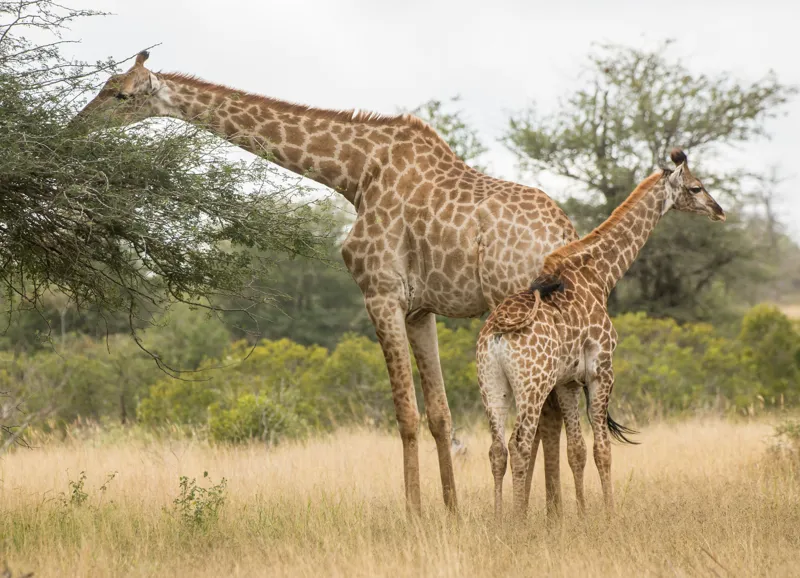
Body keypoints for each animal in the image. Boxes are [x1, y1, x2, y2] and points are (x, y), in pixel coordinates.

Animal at [74, 50, 620, 515]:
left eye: (119, 93)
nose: (76, 127)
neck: (355, 173)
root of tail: (564, 232)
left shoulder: (379, 293)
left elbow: (404, 413)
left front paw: (414, 513)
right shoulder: (419, 308)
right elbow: (439, 414)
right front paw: (451, 510)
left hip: (516, 310)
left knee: (545, 414)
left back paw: (546, 513)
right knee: (550, 414)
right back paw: (553, 513)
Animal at [477, 149, 725, 519]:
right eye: (696, 187)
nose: (718, 210)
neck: (600, 275)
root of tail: (497, 333)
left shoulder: (566, 380)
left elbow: (577, 450)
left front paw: (582, 515)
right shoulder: (601, 370)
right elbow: (602, 450)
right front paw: (609, 515)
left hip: (492, 384)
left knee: (496, 449)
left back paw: (498, 520)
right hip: (531, 385)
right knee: (519, 444)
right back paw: (518, 521)